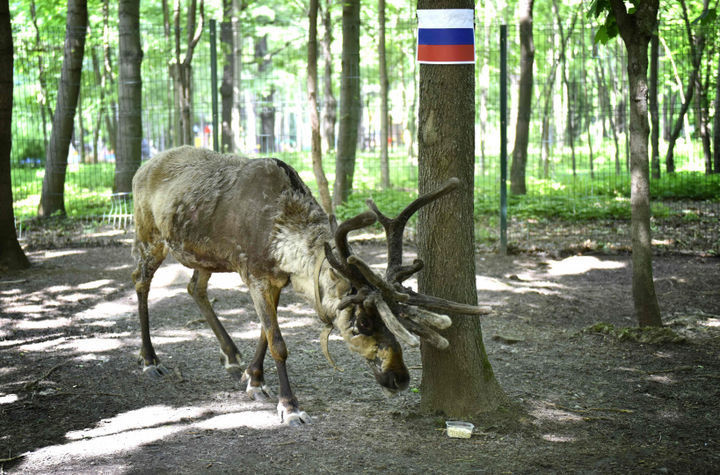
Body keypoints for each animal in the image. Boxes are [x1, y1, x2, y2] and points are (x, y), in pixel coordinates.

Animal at [131, 145, 486, 426]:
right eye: (361, 323)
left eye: (395, 317)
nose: (400, 378)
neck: (282, 236)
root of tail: (141, 167)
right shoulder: (254, 274)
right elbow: (277, 342)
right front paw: (290, 407)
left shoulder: (276, 280)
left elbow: (264, 332)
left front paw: (254, 379)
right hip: (149, 235)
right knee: (140, 281)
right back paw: (150, 360)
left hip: (204, 256)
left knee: (195, 287)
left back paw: (231, 356)